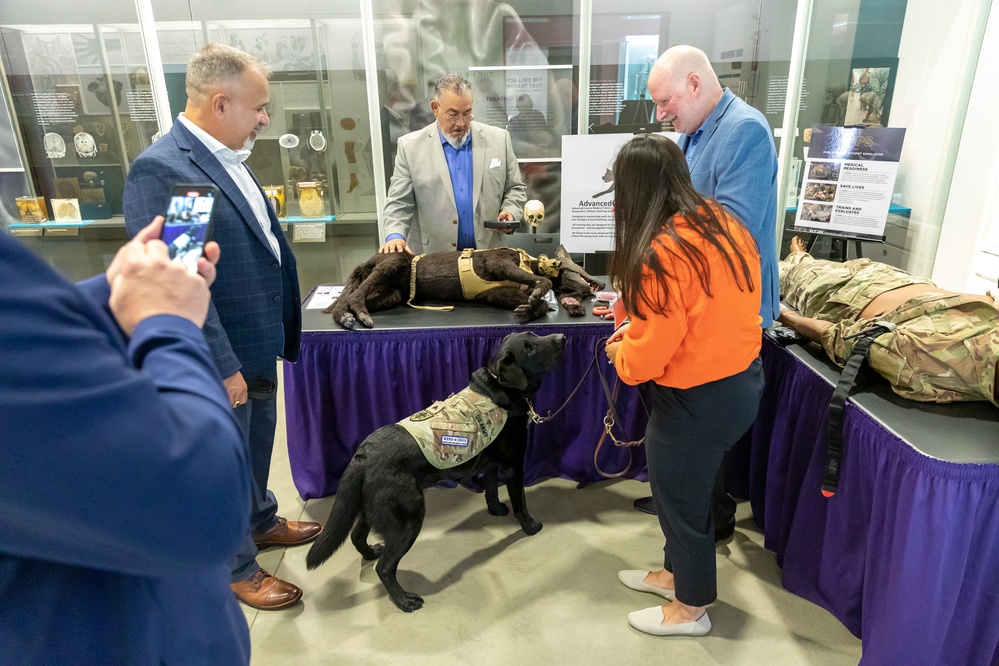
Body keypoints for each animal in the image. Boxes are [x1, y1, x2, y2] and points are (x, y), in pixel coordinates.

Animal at [304, 330, 568, 608]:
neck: (501, 386)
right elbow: (520, 503)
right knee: (385, 567)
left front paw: (496, 509)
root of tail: (362, 455)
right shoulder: (515, 466)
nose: (562, 337)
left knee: (356, 536)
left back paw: (371, 553)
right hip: (408, 517)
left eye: (534, 335)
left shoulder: (491, 464)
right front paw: (530, 526)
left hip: (373, 509)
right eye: (529, 350)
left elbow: (491, 490)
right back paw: (403, 600)